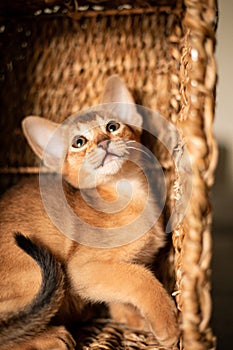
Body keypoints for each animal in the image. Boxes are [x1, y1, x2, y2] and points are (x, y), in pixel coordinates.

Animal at [0, 75, 178, 348]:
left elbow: (118, 293)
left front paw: (132, 318)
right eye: (79, 142)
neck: (130, 195)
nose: (104, 141)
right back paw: (53, 337)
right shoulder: (82, 269)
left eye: (113, 126)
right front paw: (167, 322)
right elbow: (140, 278)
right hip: (34, 274)